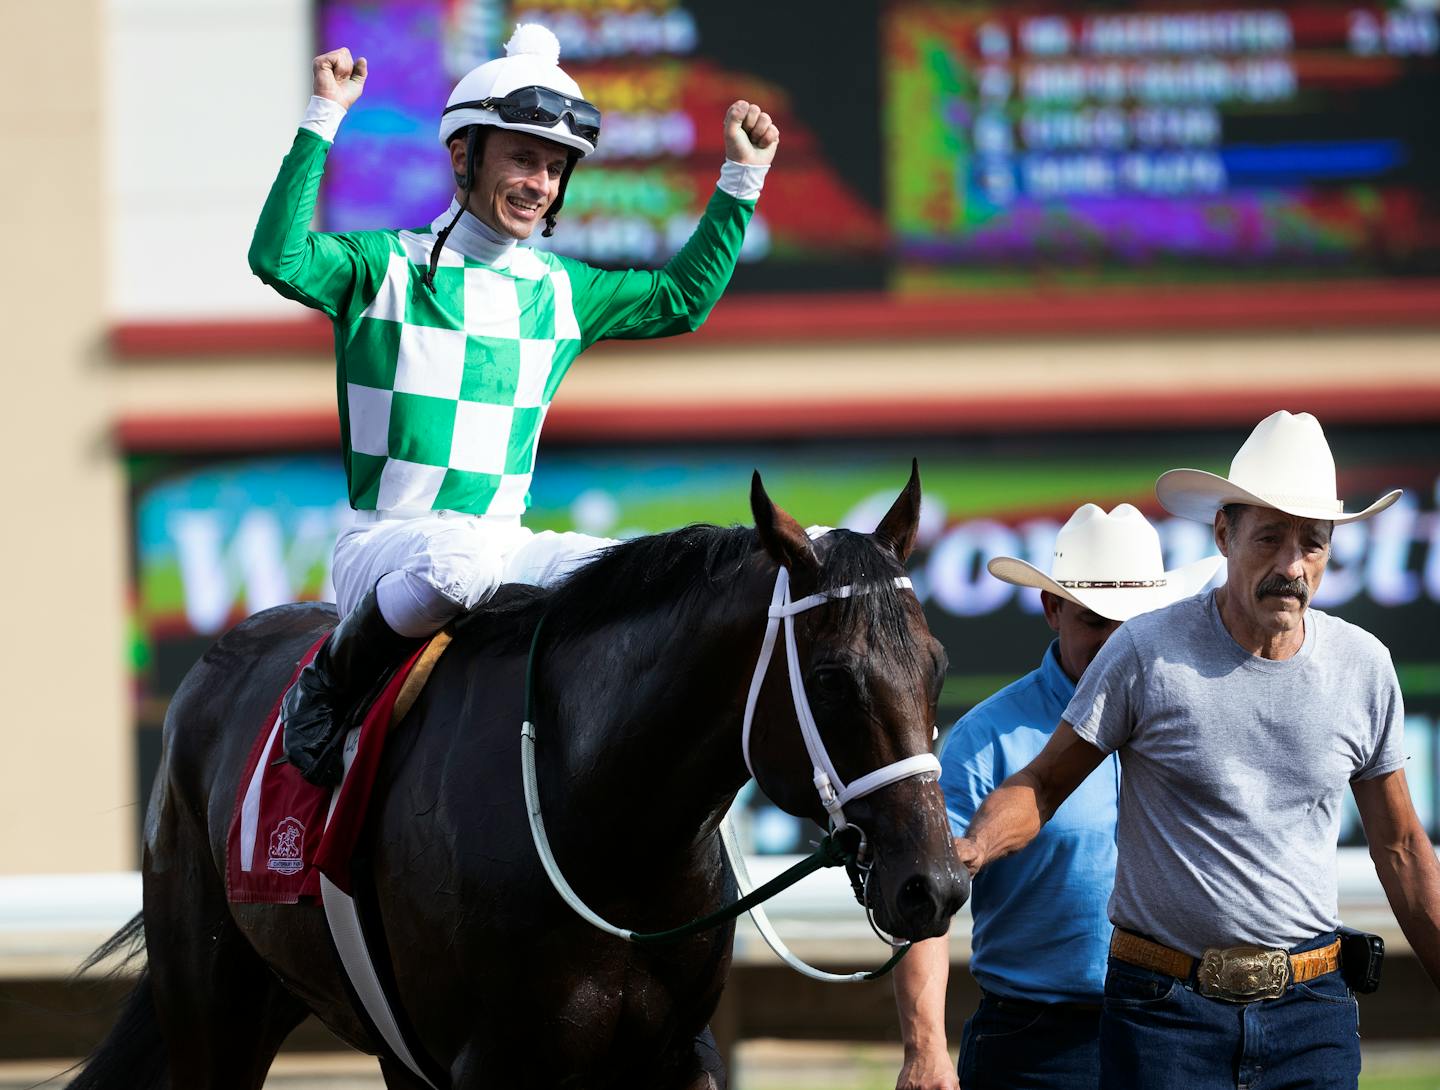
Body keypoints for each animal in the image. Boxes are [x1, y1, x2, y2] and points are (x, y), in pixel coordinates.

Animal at [73, 466, 961, 1088]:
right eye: (835, 680)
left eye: (938, 667)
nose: (937, 887)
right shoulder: (494, 1064)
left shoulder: (674, 1055)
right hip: (214, 1009)